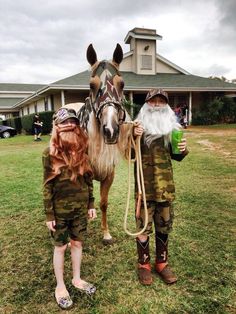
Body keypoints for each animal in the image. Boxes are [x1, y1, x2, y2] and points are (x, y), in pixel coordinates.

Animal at [64, 43, 133, 245]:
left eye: (122, 84)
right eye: (91, 85)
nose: (110, 130)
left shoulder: (108, 175)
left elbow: (102, 203)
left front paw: (106, 234)